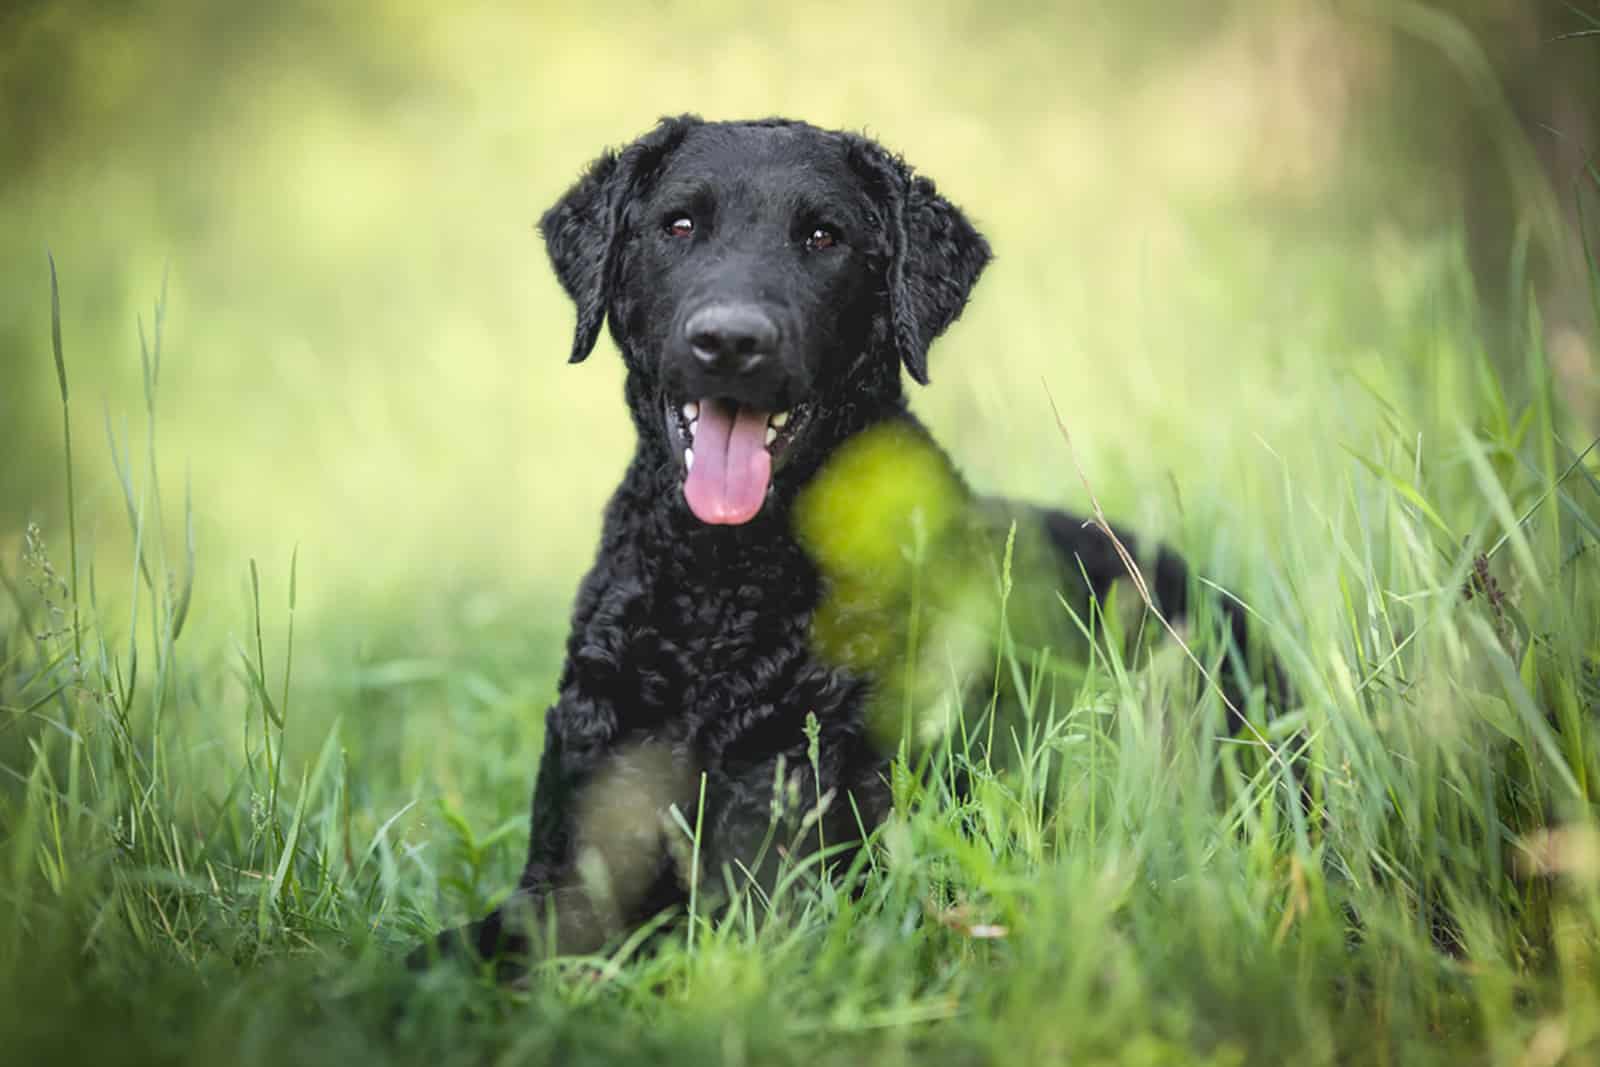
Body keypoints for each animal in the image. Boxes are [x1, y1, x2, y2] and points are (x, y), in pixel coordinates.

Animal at [425, 116, 1273, 966]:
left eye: (823, 236)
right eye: (680, 225)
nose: (730, 341)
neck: (721, 594)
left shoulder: (789, 875)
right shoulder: (566, 858)